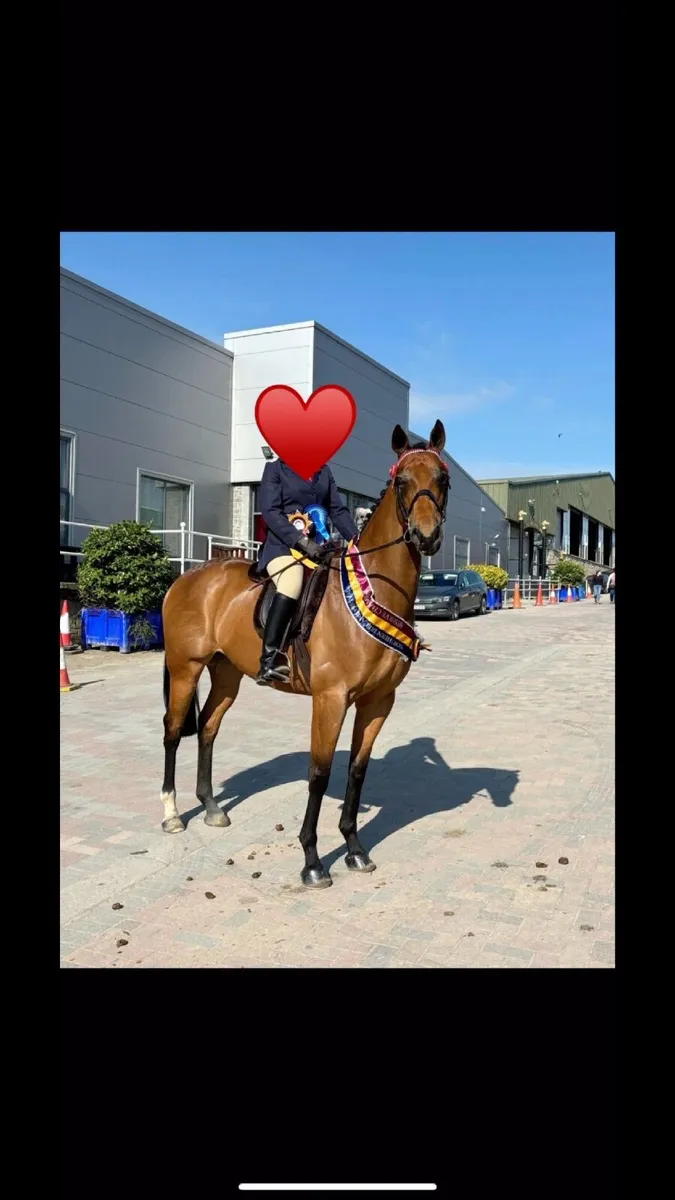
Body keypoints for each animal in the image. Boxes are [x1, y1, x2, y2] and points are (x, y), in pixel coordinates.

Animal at [159, 420, 450, 888]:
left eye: (442, 478)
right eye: (401, 481)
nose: (425, 536)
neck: (373, 590)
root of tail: (190, 575)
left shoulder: (377, 702)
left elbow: (357, 772)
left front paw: (354, 849)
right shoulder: (330, 700)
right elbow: (320, 773)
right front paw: (312, 860)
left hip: (227, 673)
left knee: (207, 728)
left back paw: (211, 808)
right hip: (185, 668)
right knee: (172, 732)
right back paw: (171, 813)